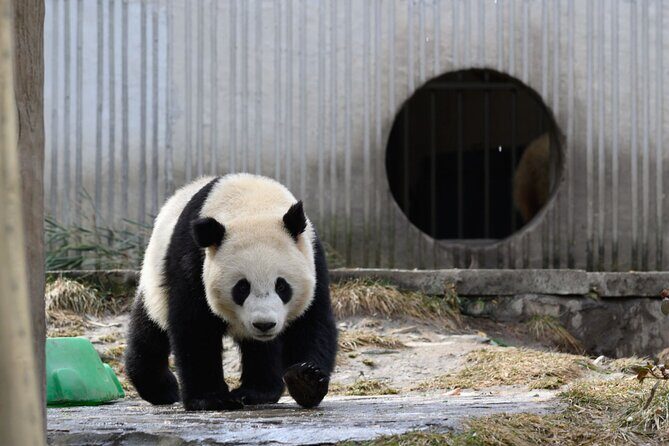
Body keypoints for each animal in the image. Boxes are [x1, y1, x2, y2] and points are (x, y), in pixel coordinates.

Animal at [125, 173, 338, 411]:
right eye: (242, 287)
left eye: (282, 286)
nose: (264, 324)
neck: (253, 205)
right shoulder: (193, 260)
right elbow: (195, 326)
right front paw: (211, 398)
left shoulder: (312, 257)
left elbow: (312, 322)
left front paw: (306, 381)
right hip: (154, 280)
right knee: (149, 330)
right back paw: (163, 388)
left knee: (262, 348)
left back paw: (256, 392)